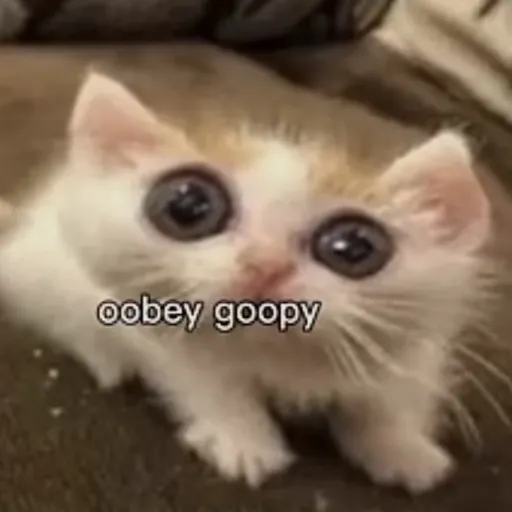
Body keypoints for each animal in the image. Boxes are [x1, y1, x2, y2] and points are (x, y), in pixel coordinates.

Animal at [0, 68, 493, 494]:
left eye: (354, 246)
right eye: (188, 205)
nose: (265, 264)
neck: (279, 356)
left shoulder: (413, 346)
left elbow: (392, 393)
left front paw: (403, 447)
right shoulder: (153, 325)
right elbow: (207, 380)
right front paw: (243, 441)